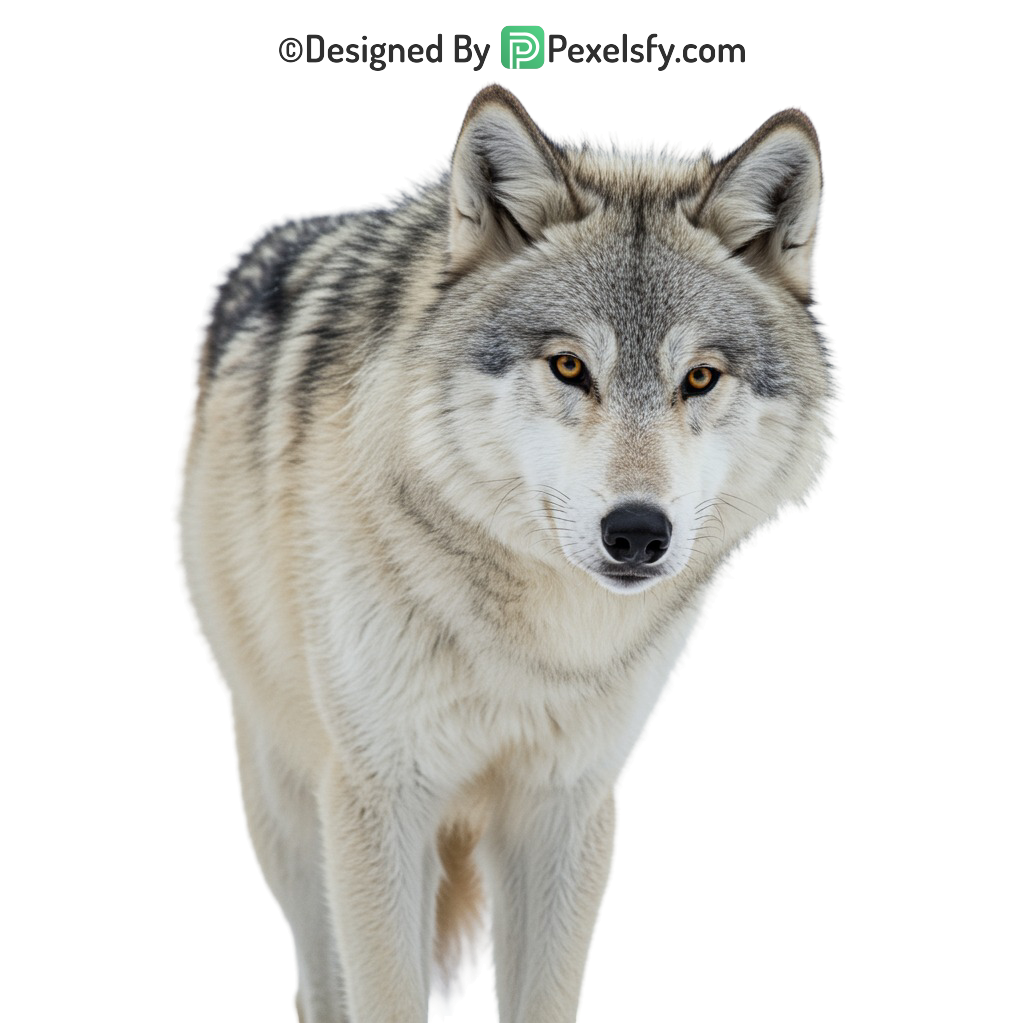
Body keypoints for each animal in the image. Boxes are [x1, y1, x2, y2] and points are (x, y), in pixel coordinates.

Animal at [172, 80, 843, 1022]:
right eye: (568, 366)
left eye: (700, 379)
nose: (637, 532)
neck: (535, 647)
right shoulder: (380, 800)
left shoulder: (568, 808)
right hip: (290, 806)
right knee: (317, 984)